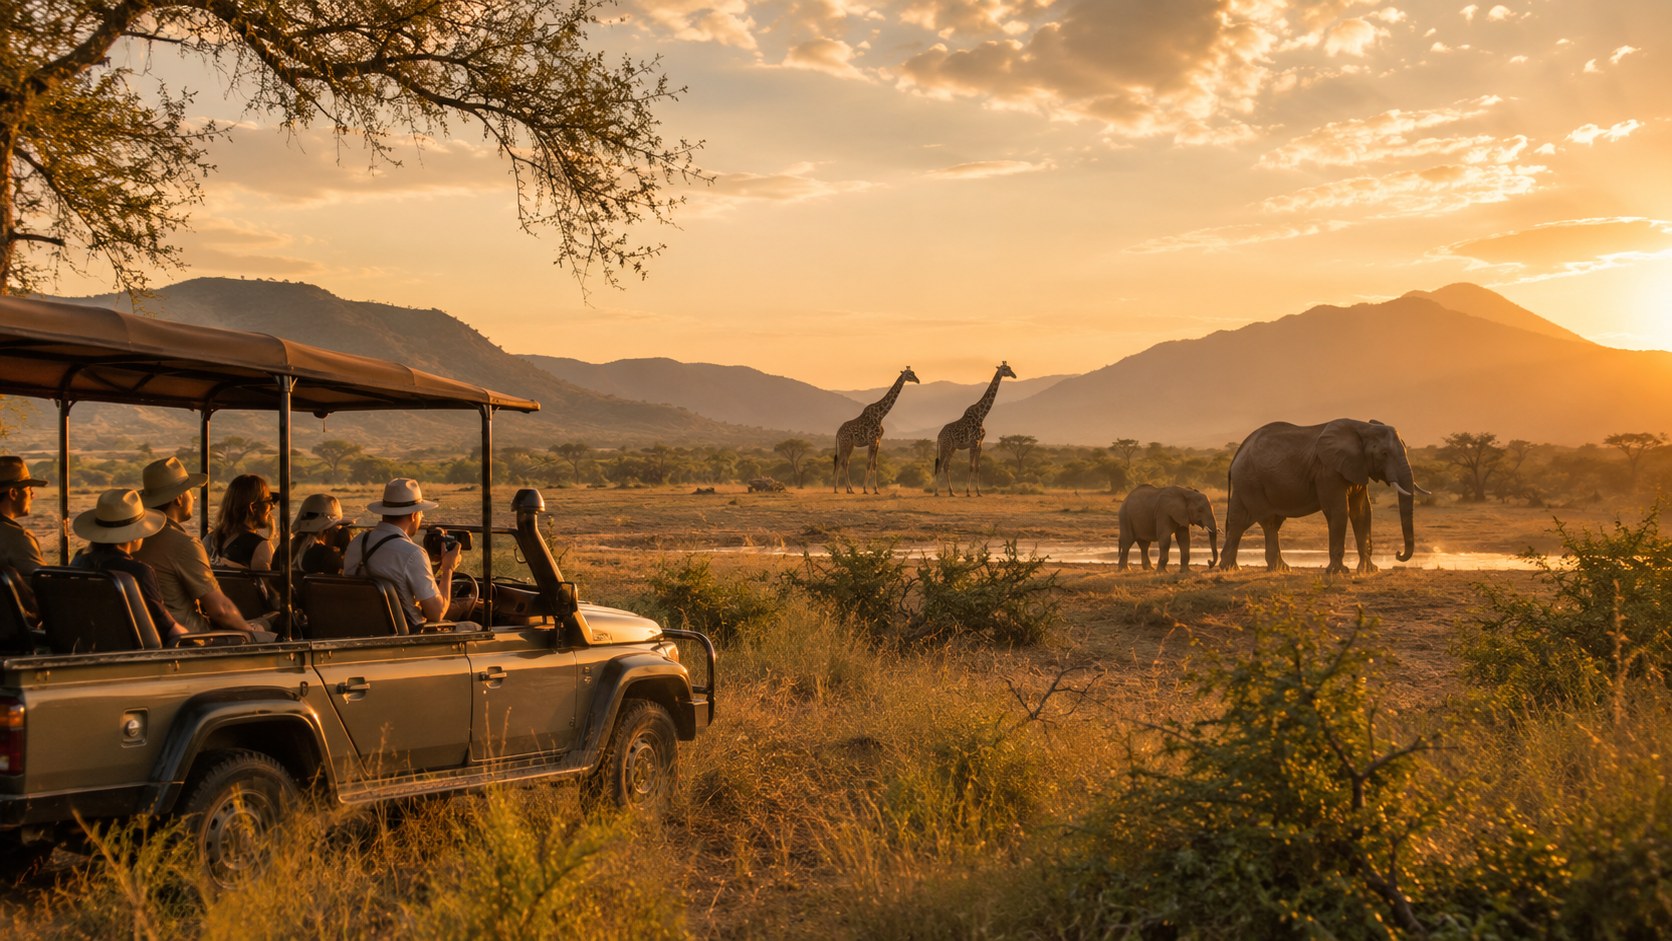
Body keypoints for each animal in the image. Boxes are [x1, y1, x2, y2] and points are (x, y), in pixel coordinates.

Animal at [934, 361, 1017, 496]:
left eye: (1010, 368)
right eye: (1005, 369)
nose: (1014, 375)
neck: (982, 415)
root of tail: (938, 436)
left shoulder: (980, 444)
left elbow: (978, 467)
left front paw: (978, 492)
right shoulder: (973, 443)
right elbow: (971, 467)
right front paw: (968, 492)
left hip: (953, 447)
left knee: (946, 466)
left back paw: (952, 492)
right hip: (945, 446)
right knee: (940, 465)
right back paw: (936, 492)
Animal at [1218, 418, 1424, 575]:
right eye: (1384, 453)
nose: (1398, 553)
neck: (1362, 428)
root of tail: (1237, 453)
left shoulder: (1357, 468)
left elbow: (1362, 512)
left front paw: (1369, 570)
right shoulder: (1328, 470)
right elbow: (1338, 510)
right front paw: (1339, 572)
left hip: (1245, 482)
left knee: (1240, 521)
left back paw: (1231, 568)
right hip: (1251, 480)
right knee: (1269, 521)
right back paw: (1277, 568)